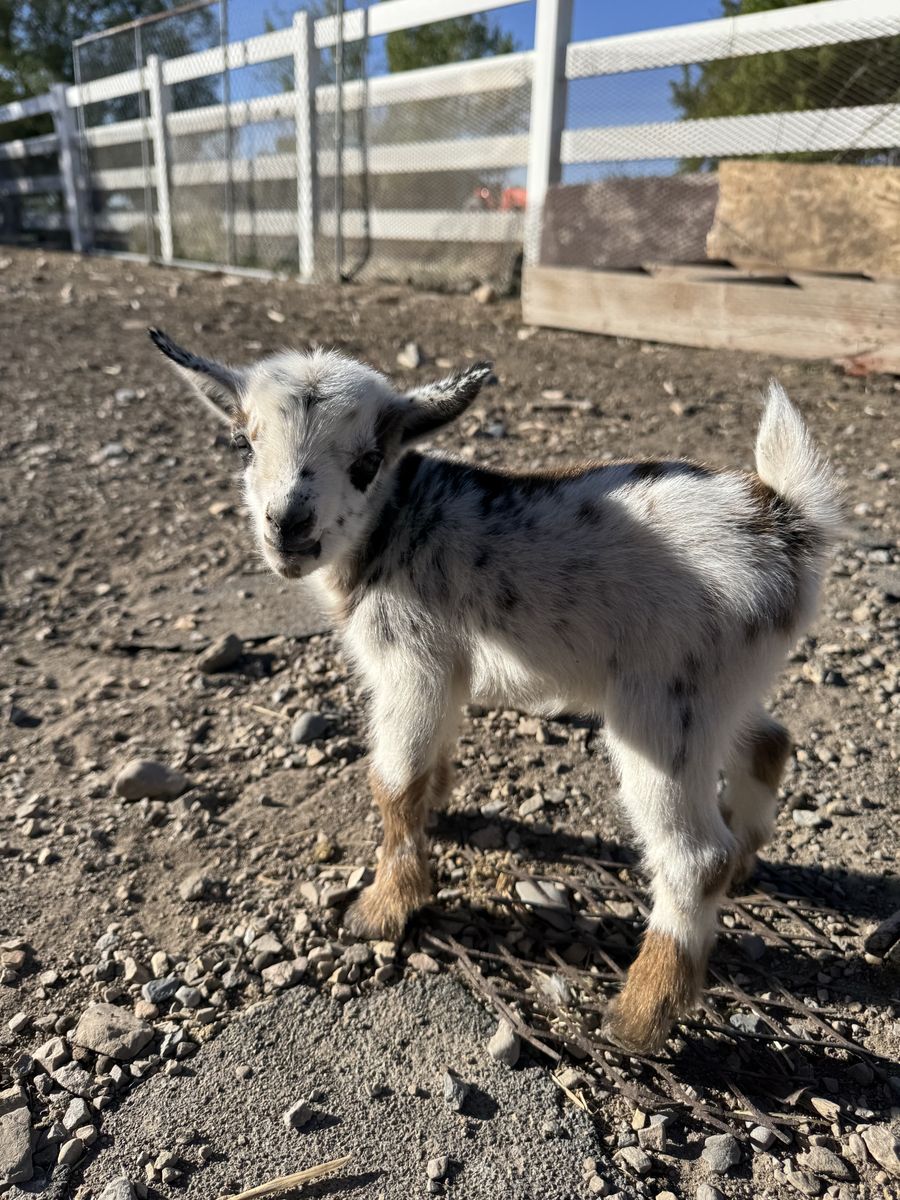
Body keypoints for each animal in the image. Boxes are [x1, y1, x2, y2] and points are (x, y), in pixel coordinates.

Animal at [150, 328, 841, 1054]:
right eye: (242, 444)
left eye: (368, 461)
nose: (288, 526)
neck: (396, 522)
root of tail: (784, 524)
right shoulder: (446, 670)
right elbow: (428, 761)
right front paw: (440, 808)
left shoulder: (412, 661)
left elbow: (391, 783)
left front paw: (383, 910)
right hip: (718, 688)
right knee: (768, 741)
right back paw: (745, 861)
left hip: (661, 702)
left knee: (694, 856)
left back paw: (638, 1016)